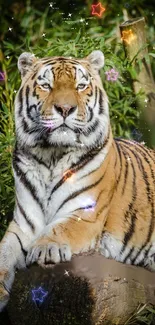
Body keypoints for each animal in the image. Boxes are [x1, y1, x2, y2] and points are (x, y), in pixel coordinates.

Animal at [0, 49, 155, 310]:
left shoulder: (85, 214)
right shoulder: (23, 224)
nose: (65, 108)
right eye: (46, 85)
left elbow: (60, 227)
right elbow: (3, 253)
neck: (51, 157)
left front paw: (44, 248)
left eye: (81, 86)